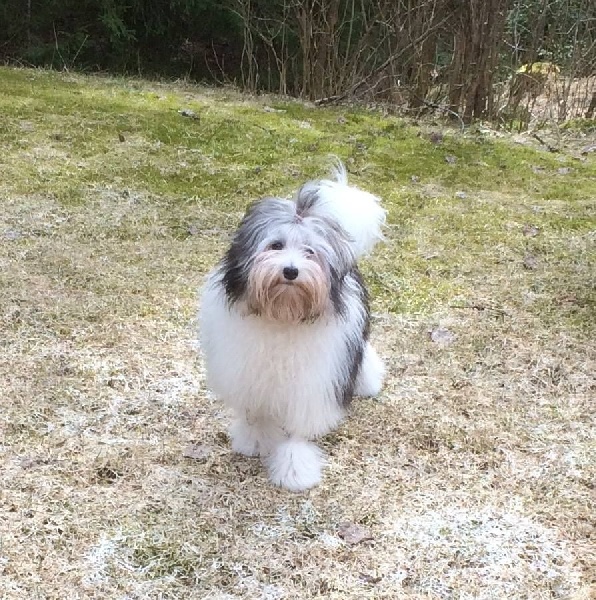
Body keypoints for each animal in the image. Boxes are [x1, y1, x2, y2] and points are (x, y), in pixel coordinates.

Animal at [199, 163, 385, 491]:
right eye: (276, 245)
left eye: (310, 251)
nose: (290, 271)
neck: (283, 315)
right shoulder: (248, 372)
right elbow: (256, 413)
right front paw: (255, 440)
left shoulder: (312, 384)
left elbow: (298, 430)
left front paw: (295, 469)